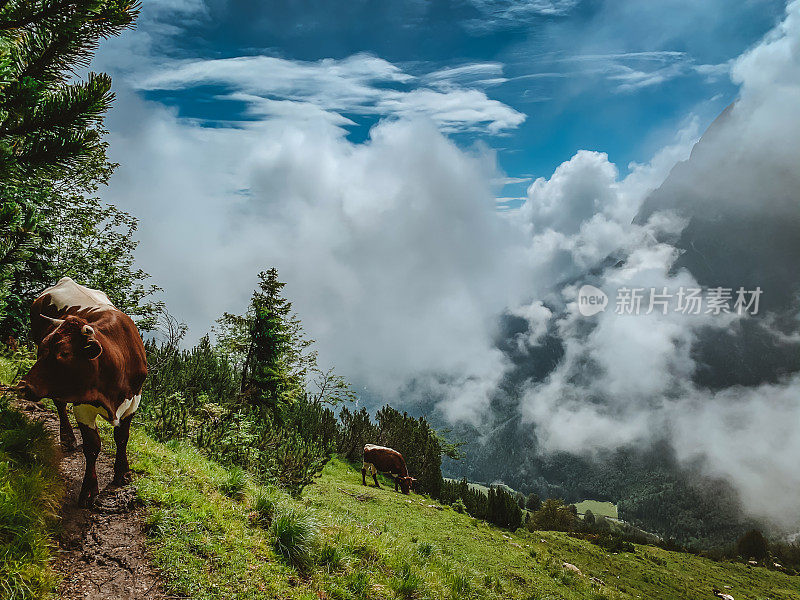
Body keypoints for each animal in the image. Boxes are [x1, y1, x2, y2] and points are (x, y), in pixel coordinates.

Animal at [20, 278, 148, 506]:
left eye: (64, 353)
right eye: (42, 349)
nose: (24, 386)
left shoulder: (134, 400)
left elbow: (122, 437)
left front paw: (123, 473)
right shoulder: (82, 404)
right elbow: (92, 446)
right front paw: (89, 490)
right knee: (60, 404)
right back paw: (68, 438)